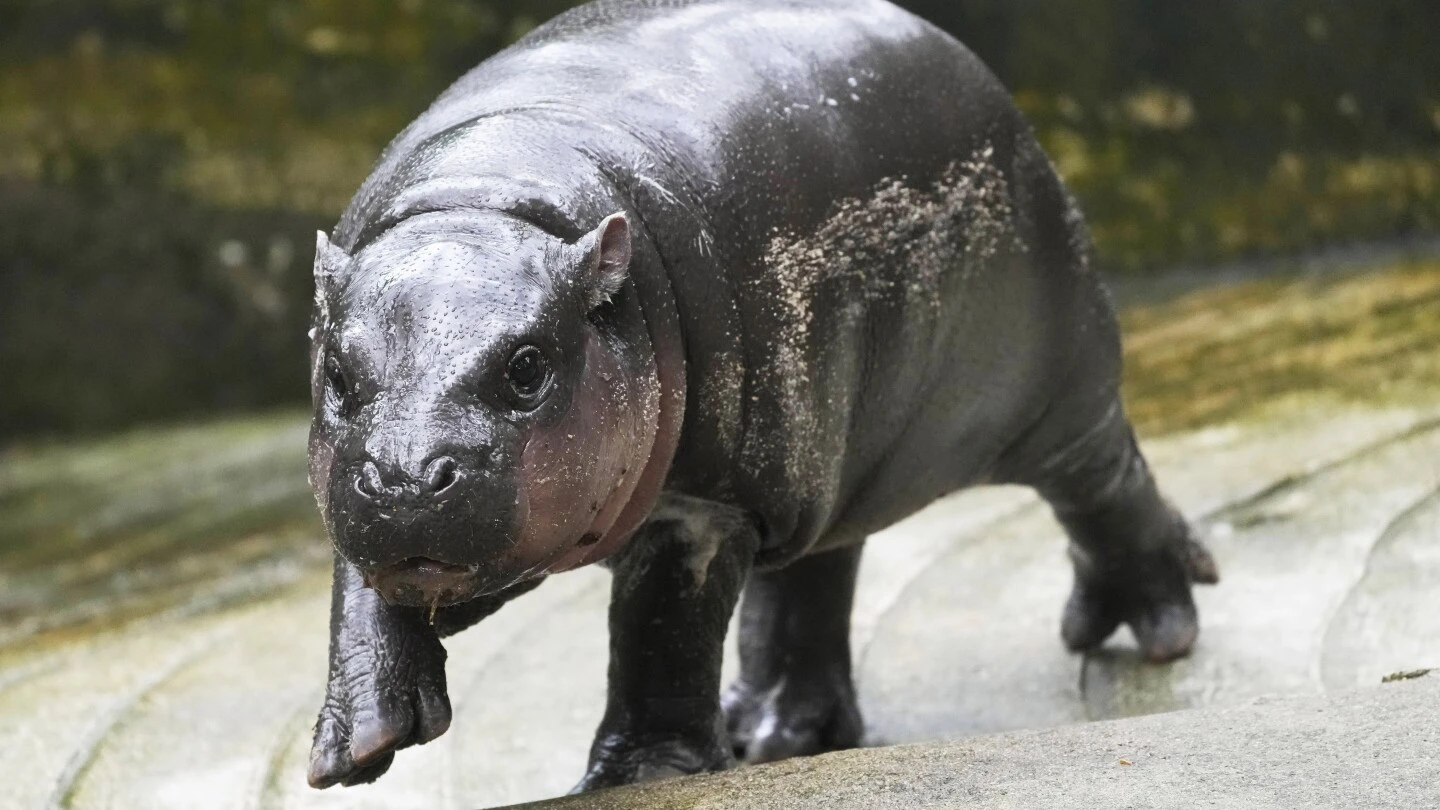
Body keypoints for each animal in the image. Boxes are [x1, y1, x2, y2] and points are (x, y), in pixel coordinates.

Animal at [303, 0, 1215, 795]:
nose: (406, 479)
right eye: (338, 374)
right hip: (829, 455)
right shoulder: (360, 492)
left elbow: (663, 631)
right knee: (813, 576)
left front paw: (643, 777)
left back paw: (1155, 626)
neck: (487, 203)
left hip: (1052, 388)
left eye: (527, 366)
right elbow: (361, 590)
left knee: (1103, 481)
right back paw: (775, 733)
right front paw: (359, 744)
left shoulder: (710, 502)